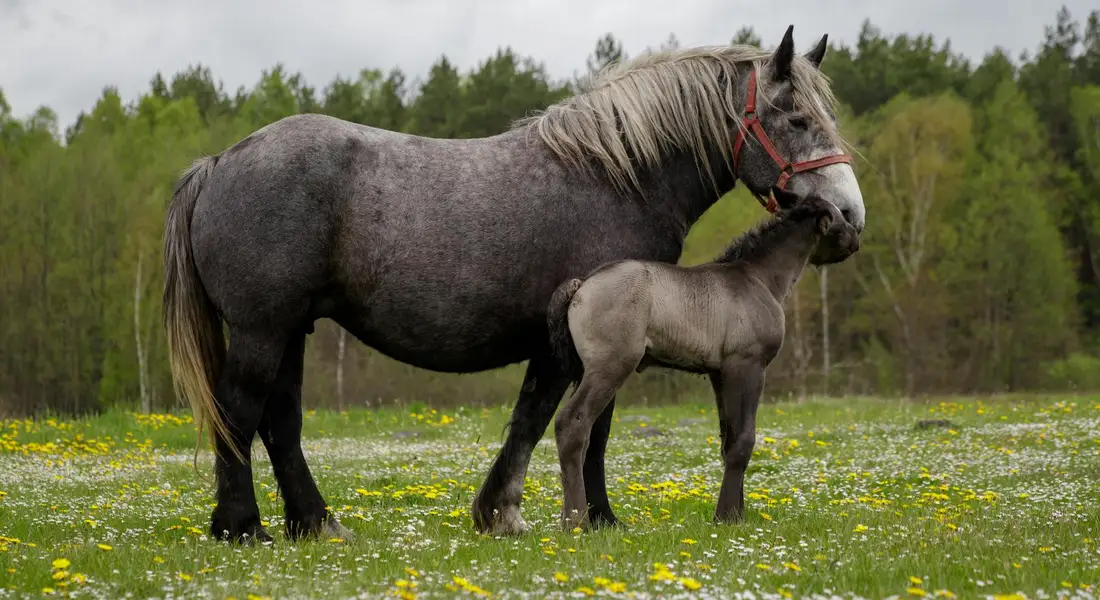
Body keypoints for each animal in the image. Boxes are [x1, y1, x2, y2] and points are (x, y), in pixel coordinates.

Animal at [546, 194, 859, 530]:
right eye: (841, 216)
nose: (856, 239)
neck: (758, 278)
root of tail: (581, 285)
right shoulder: (747, 366)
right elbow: (743, 441)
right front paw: (726, 517)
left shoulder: (719, 374)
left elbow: (728, 440)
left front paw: (736, 514)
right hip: (609, 368)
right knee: (572, 424)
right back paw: (576, 521)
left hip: (584, 371)